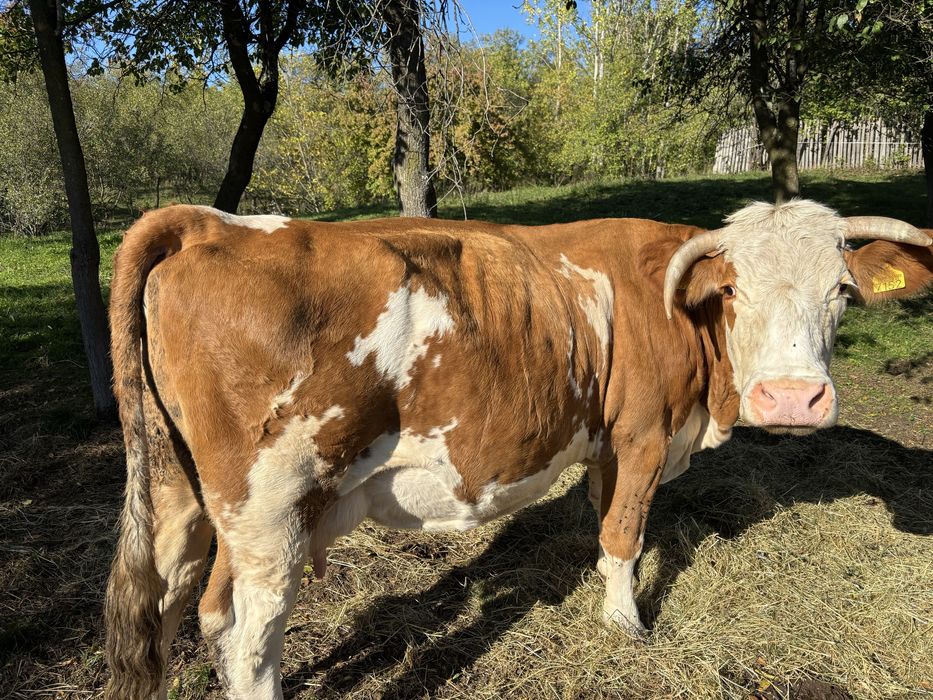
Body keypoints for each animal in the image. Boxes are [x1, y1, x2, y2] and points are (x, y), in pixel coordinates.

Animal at [103, 200, 932, 699]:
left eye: (841, 292)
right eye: (732, 292)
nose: (792, 398)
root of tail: (214, 222)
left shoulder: (605, 444)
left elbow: (602, 523)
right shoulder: (641, 435)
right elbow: (624, 536)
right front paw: (624, 625)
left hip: (184, 497)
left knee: (184, 604)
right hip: (267, 508)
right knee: (251, 629)